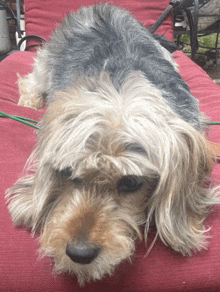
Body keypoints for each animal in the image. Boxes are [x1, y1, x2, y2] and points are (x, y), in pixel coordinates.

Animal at [6, 2, 219, 286]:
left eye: (131, 183)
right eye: (68, 172)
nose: (79, 253)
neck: (120, 87)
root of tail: (100, 7)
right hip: (48, 61)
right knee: (31, 79)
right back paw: (29, 102)